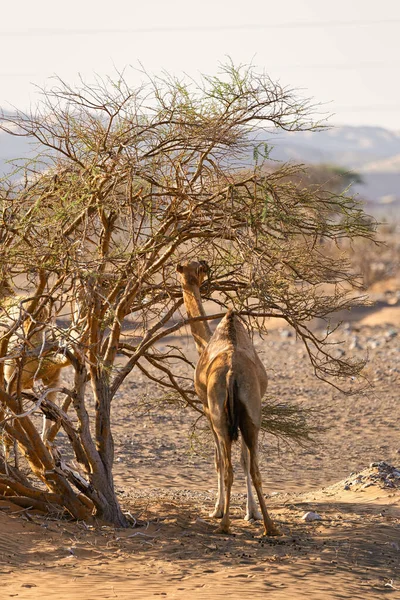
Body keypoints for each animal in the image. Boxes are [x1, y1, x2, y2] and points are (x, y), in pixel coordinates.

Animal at [177, 260, 280, 536]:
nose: (204, 269)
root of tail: (232, 371)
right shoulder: (245, 415)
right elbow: (243, 460)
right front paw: (251, 512)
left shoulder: (206, 408)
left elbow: (217, 461)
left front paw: (218, 509)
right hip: (252, 416)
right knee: (253, 466)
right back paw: (270, 526)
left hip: (220, 415)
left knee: (228, 466)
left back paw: (223, 524)